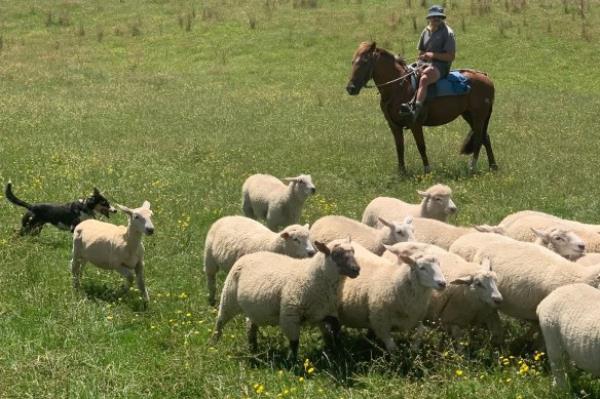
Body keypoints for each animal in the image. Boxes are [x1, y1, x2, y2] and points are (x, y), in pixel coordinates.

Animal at [212, 238, 358, 360]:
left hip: (254, 309)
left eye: (353, 251)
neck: (313, 276)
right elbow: (294, 343)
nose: (356, 269)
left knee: (250, 325)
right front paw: (293, 364)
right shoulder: (290, 315)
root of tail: (251, 255)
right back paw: (214, 343)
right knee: (220, 320)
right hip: (229, 297)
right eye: (336, 254)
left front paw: (336, 352)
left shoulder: (323, 312)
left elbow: (334, 329)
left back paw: (253, 349)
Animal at [346, 41, 496, 174]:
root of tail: (486, 77)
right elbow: (399, 147)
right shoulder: (394, 126)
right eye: (353, 62)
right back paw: (493, 166)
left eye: (365, 61)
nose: (350, 88)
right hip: (469, 115)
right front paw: (402, 172)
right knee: (485, 137)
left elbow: (421, 146)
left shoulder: (415, 124)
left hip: (478, 116)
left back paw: (472, 167)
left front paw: (427, 170)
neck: (399, 88)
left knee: (478, 139)